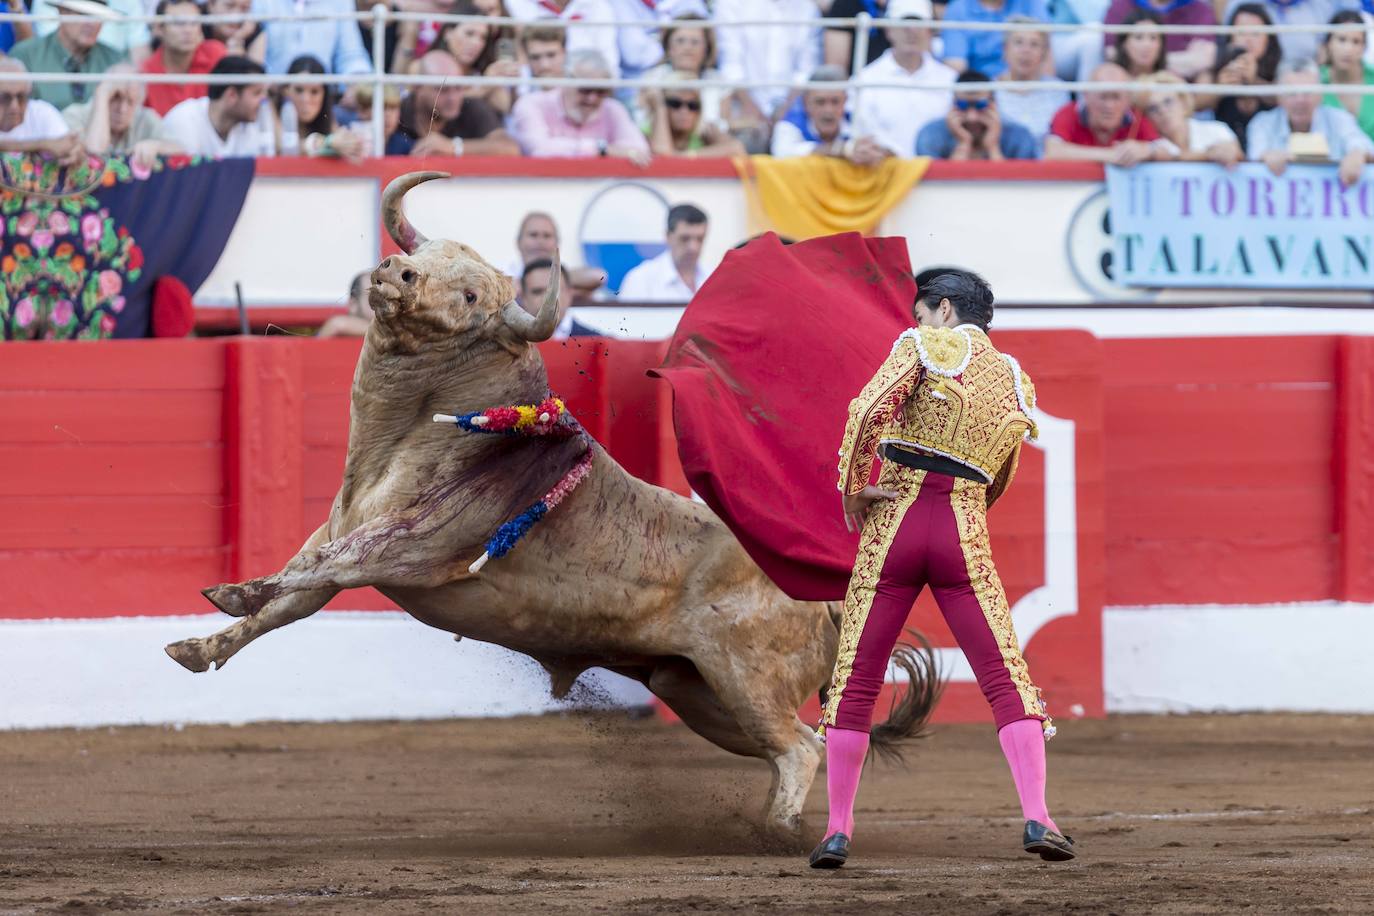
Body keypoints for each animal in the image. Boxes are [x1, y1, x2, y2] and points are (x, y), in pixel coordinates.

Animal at [160, 171, 934, 840]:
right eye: (429, 256)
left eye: (472, 297)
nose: (395, 274)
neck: (400, 438)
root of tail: (825, 598)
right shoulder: (342, 533)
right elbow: (291, 598)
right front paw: (197, 645)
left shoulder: (409, 546)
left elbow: (320, 568)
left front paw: (231, 589)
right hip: (697, 692)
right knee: (792, 744)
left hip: (745, 681)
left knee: (800, 747)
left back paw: (774, 833)